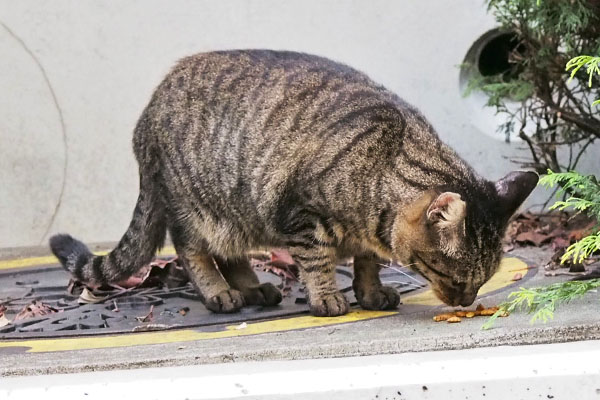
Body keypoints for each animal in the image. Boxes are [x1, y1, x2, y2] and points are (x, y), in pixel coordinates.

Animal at [50, 50, 540, 316]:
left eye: (483, 279)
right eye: (452, 276)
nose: (466, 301)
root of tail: (147, 112)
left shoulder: (365, 230)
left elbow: (366, 261)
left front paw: (370, 292)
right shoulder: (303, 217)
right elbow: (318, 262)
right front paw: (328, 298)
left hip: (236, 210)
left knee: (231, 253)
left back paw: (253, 288)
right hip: (198, 206)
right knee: (192, 250)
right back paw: (221, 293)